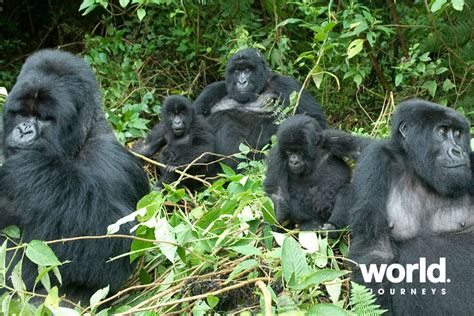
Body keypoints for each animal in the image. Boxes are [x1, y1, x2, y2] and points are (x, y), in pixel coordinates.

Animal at [0, 48, 150, 304]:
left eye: (44, 118)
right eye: (22, 114)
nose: (24, 131)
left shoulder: (112, 160)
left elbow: (118, 243)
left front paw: (31, 165)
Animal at [194, 47, 328, 169]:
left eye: (247, 70)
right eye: (237, 71)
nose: (242, 82)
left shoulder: (288, 84)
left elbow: (315, 121)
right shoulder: (213, 89)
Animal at [348, 98, 474, 314]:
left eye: (458, 134)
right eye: (442, 131)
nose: (459, 151)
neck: (418, 169)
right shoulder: (374, 159)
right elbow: (376, 253)